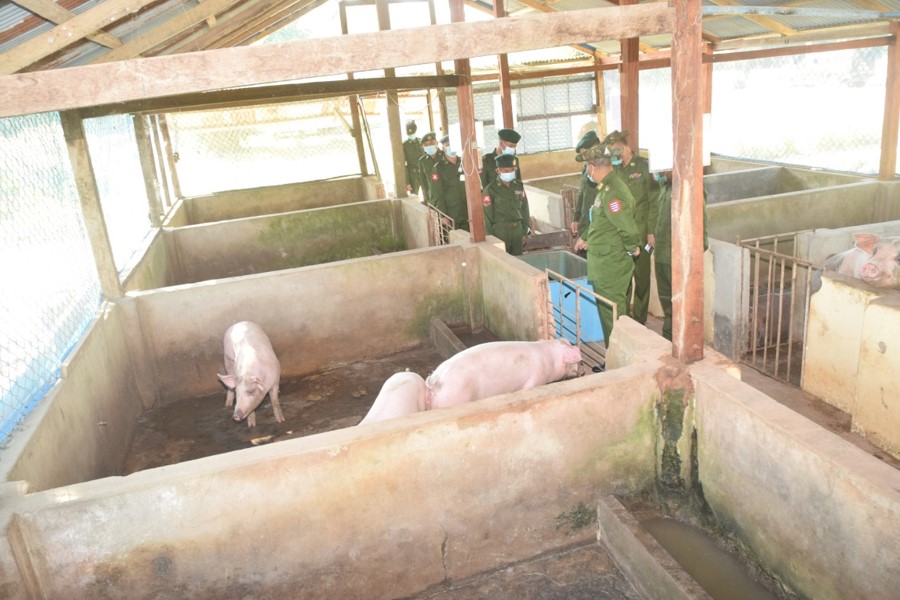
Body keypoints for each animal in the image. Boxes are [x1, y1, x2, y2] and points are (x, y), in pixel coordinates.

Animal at [424, 339, 582, 410]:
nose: (583, 370)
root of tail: (434, 381)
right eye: (577, 362)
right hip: (453, 397)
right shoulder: (536, 379)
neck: (550, 360)